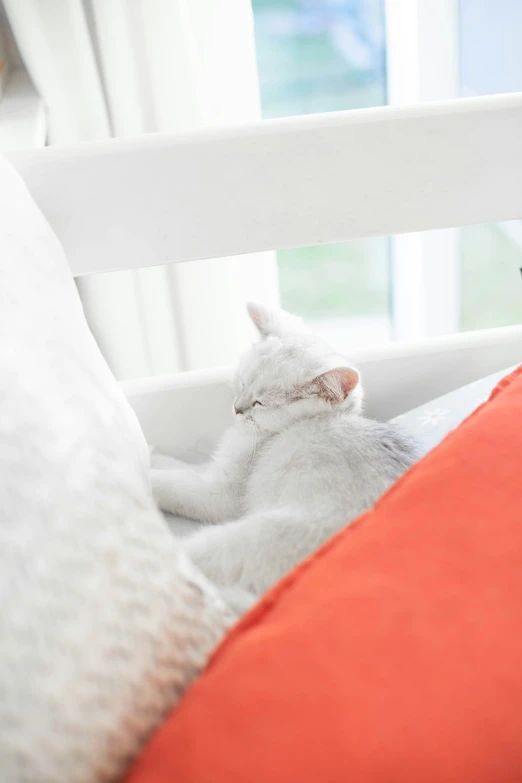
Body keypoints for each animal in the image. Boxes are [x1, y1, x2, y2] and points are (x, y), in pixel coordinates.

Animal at [152, 304, 416, 608]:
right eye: (242, 383)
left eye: (260, 403)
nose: (237, 408)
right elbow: (183, 467)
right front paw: (153, 454)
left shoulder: (221, 494)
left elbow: (176, 483)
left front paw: (144, 472)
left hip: (240, 541)